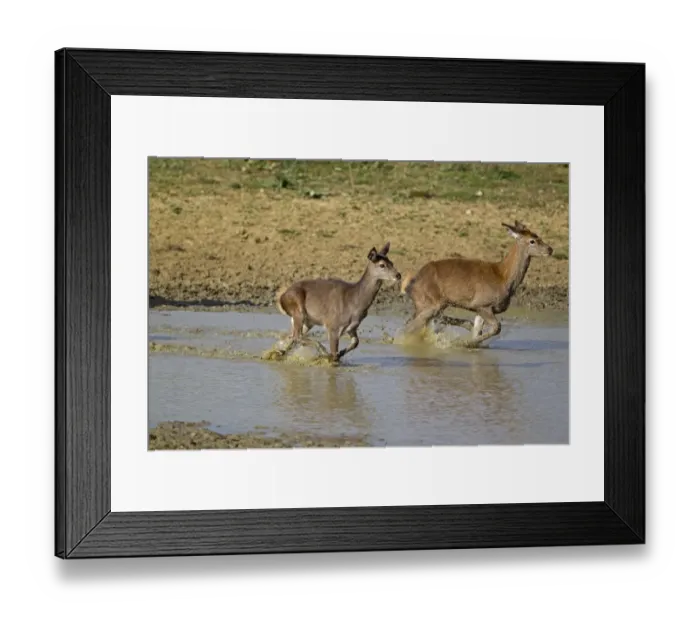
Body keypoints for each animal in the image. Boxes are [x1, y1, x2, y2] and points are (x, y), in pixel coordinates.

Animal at [272, 242, 402, 363]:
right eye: (382, 265)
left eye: (392, 263)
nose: (398, 275)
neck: (355, 303)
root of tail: (281, 297)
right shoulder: (333, 325)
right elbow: (334, 353)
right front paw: (331, 356)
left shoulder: (352, 327)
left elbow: (356, 342)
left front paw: (340, 353)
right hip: (297, 308)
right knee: (296, 336)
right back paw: (322, 351)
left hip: (308, 321)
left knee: (291, 337)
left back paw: (276, 354)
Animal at [400, 221, 553, 347]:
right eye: (532, 241)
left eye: (538, 236)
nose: (550, 249)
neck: (503, 278)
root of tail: (410, 286)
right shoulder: (482, 303)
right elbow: (496, 327)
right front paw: (464, 343)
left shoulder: (480, 309)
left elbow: (478, 328)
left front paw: (470, 343)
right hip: (430, 303)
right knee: (409, 326)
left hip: (429, 304)